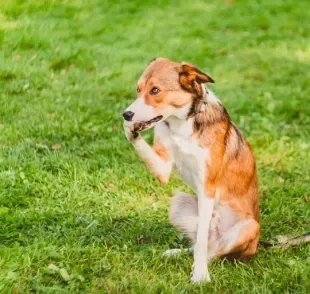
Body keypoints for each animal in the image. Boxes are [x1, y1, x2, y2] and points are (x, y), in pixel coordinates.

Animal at [122, 56, 260, 282]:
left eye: (155, 90)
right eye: (138, 89)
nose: (126, 114)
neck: (182, 123)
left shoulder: (207, 186)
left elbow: (202, 244)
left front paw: (200, 275)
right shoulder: (163, 168)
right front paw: (130, 129)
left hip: (248, 227)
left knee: (211, 250)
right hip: (178, 202)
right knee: (199, 244)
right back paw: (176, 253)